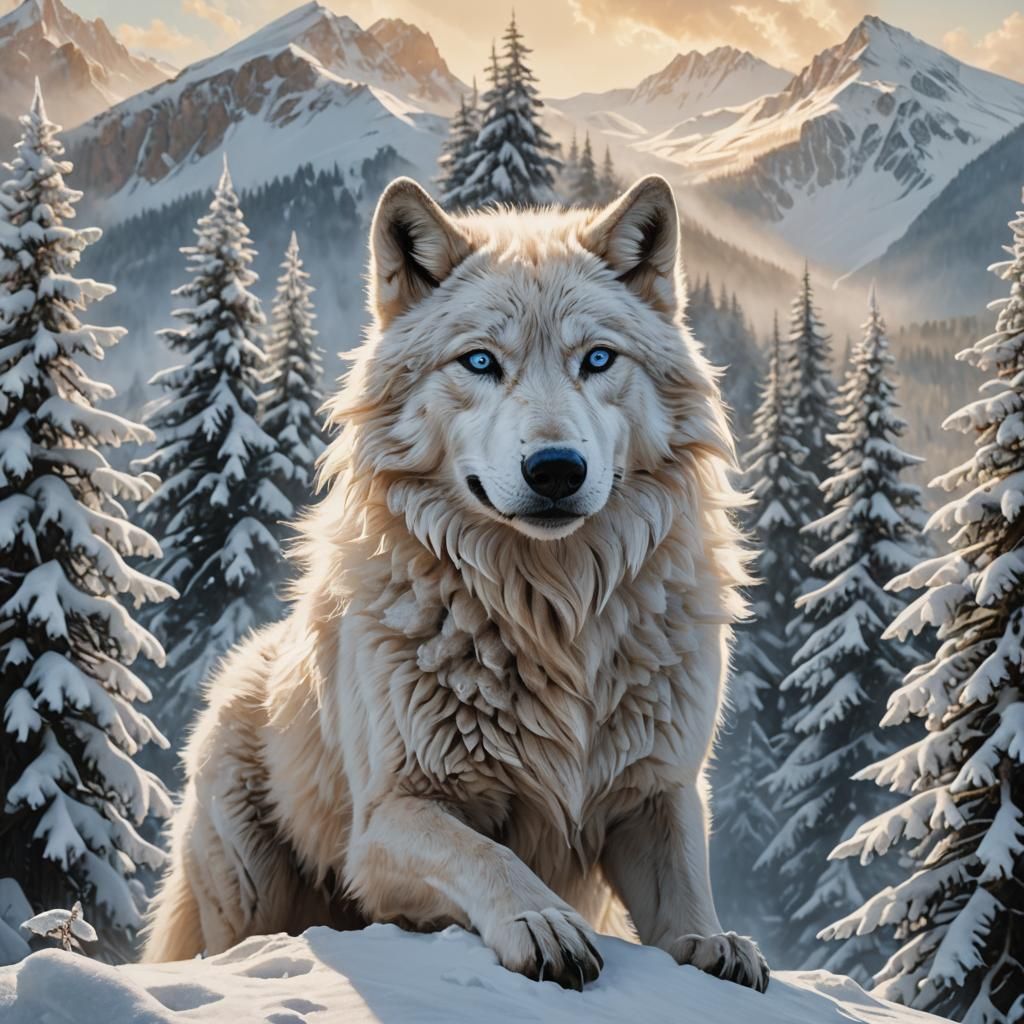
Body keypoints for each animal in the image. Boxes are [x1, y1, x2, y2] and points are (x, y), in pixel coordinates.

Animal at [143, 174, 769, 992]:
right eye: (479, 363)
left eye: (598, 359)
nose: (556, 469)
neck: (552, 612)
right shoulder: (388, 821)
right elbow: (486, 853)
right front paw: (540, 924)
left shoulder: (658, 792)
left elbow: (687, 895)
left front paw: (713, 943)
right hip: (248, 881)